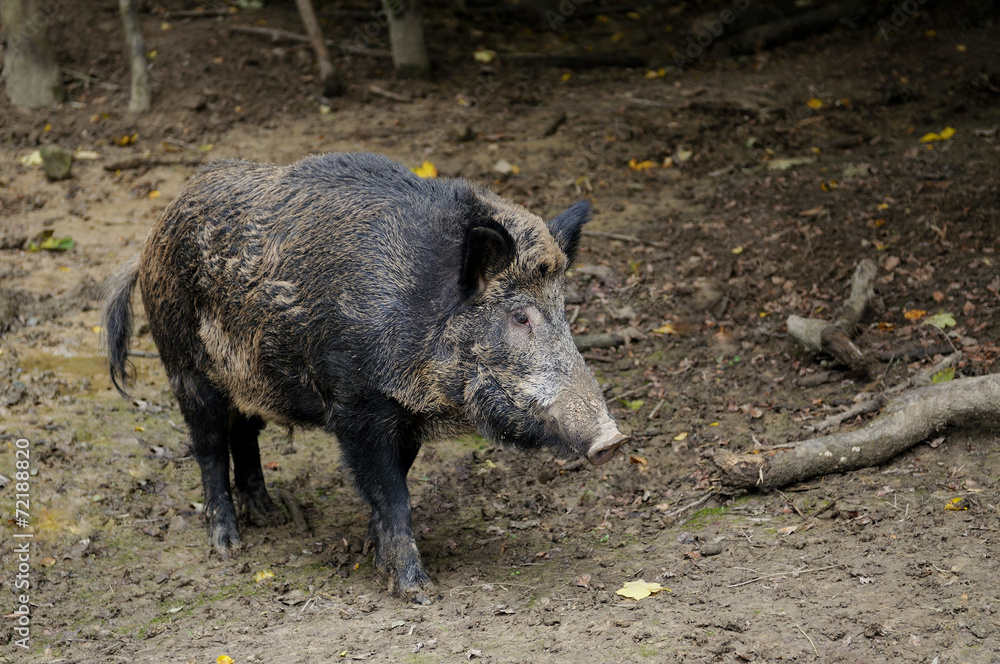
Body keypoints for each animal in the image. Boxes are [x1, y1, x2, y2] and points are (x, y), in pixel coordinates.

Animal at [102, 152, 627, 603]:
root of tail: (151, 240)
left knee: (244, 433)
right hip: (185, 366)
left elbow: (395, 485)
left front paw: (379, 562)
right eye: (520, 316)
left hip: (255, 378)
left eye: (562, 309)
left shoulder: (406, 416)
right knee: (209, 447)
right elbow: (393, 496)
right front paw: (416, 591)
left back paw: (271, 517)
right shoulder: (358, 405)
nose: (613, 440)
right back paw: (229, 546)